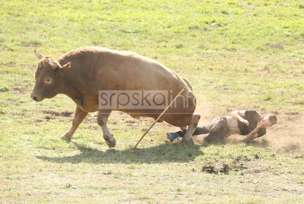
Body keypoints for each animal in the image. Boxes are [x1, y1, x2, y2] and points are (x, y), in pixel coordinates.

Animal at [30, 46, 200, 146]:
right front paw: (66, 136)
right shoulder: (84, 104)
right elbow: (76, 121)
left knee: (195, 118)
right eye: (36, 75)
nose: (34, 96)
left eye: (48, 79)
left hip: (174, 115)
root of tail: (187, 87)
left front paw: (110, 140)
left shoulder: (106, 103)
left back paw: (186, 138)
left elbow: (100, 120)